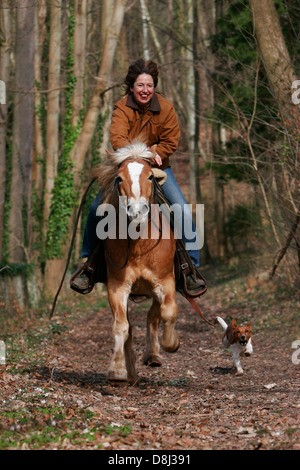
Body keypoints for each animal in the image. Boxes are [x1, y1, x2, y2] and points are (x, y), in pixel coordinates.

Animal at [93, 141, 178, 384]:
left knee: (154, 316)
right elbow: (122, 327)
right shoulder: (117, 287)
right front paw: (118, 370)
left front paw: (171, 343)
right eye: (119, 179)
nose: (137, 211)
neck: (140, 242)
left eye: (150, 176)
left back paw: (153, 355)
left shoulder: (165, 282)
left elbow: (169, 312)